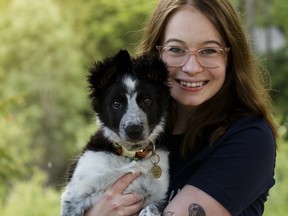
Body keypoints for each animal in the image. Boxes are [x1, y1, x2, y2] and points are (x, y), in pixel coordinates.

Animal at [59, 49, 170, 216]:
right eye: (116, 104)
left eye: (147, 101)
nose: (134, 130)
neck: (130, 156)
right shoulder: (75, 195)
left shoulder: (158, 196)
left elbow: (150, 210)